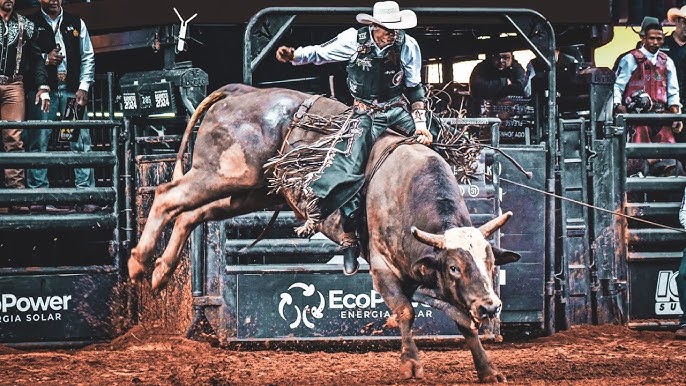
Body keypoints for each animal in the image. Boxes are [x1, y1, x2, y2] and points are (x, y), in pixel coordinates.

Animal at [366, 132, 520, 380]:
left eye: (490, 263)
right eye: (453, 268)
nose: (490, 308)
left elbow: (465, 323)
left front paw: (488, 370)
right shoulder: (382, 267)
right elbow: (405, 311)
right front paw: (410, 363)